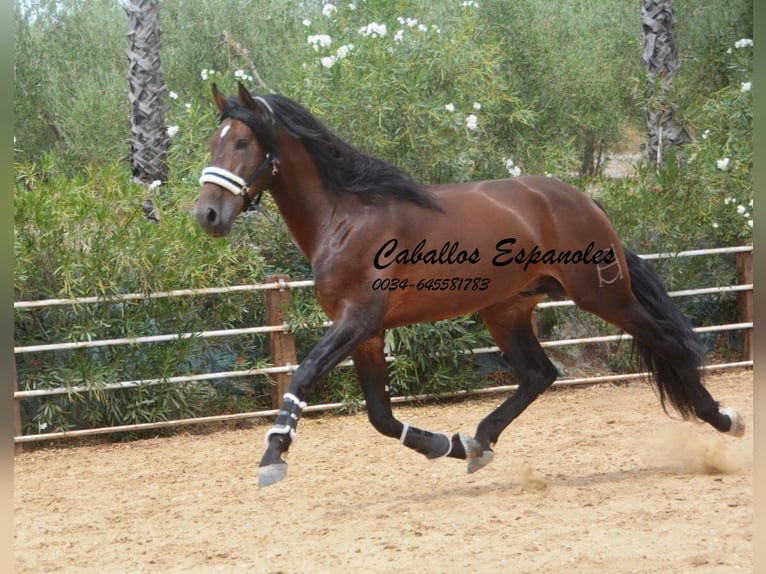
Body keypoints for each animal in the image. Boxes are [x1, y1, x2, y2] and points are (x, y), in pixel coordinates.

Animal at [195, 84, 748, 490]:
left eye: (242, 143)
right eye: (213, 142)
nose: (208, 216)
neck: (346, 218)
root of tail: (582, 198)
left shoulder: (358, 320)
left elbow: (305, 373)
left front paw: (273, 454)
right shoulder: (368, 333)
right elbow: (380, 416)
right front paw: (445, 444)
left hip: (601, 294)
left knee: (666, 342)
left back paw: (724, 418)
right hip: (505, 309)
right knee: (539, 374)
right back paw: (477, 441)